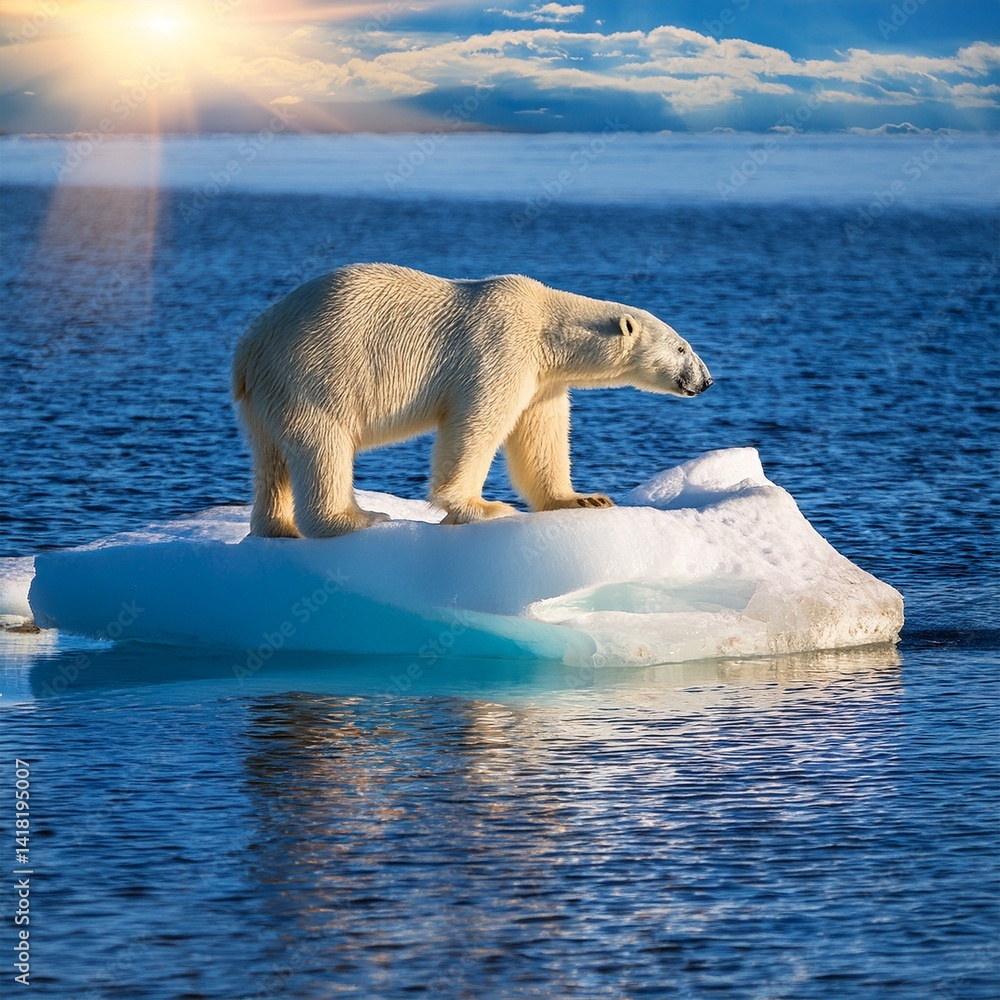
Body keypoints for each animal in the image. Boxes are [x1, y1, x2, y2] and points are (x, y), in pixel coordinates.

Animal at [232, 262, 713, 538]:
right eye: (682, 348)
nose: (706, 380)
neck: (546, 325)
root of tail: (249, 349)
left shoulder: (543, 380)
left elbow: (541, 434)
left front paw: (584, 499)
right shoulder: (501, 349)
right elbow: (477, 424)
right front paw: (483, 507)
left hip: (268, 396)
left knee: (271, 459)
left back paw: (276, 528)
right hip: (317, 375)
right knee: (323, 448)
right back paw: (357, 518)